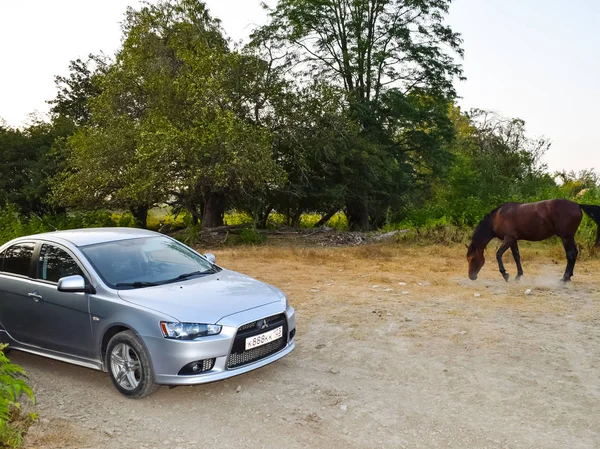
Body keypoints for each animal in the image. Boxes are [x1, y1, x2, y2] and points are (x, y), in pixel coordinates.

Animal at [468, 200, 600, 280]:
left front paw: (505, 275)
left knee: (571, 254)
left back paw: (564, 278)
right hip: (568, 237)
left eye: (472, 258)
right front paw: (518, 276)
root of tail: (577, 205)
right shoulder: (513, 240)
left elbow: (498, 254)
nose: (471, 276)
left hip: (566, 237)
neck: (497, 217)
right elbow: (516, 256)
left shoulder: (508, 238)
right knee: (574, 253)